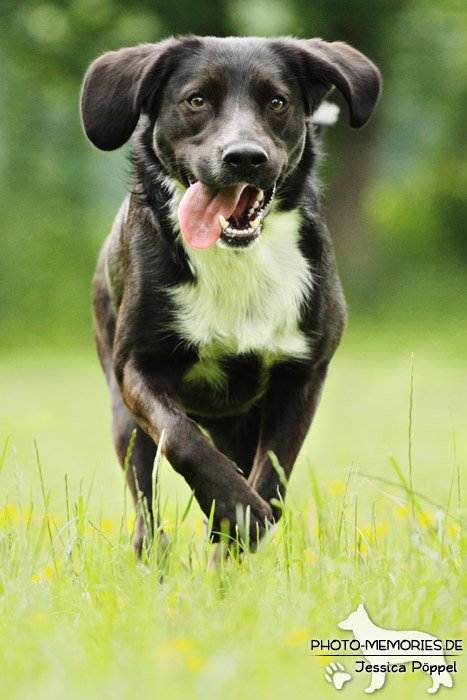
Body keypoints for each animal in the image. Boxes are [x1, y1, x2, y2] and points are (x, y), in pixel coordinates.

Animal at [79, 37, 380, 552]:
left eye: (277, 102)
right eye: (196, 100)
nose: (244, 157)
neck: (236, 257)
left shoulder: (302, 375)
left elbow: (274, 471)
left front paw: (243, 521)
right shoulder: (138, 368)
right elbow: (181, 438)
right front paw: (236, 509)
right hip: (124, 418)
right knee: (145, 506)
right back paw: (154, 554)